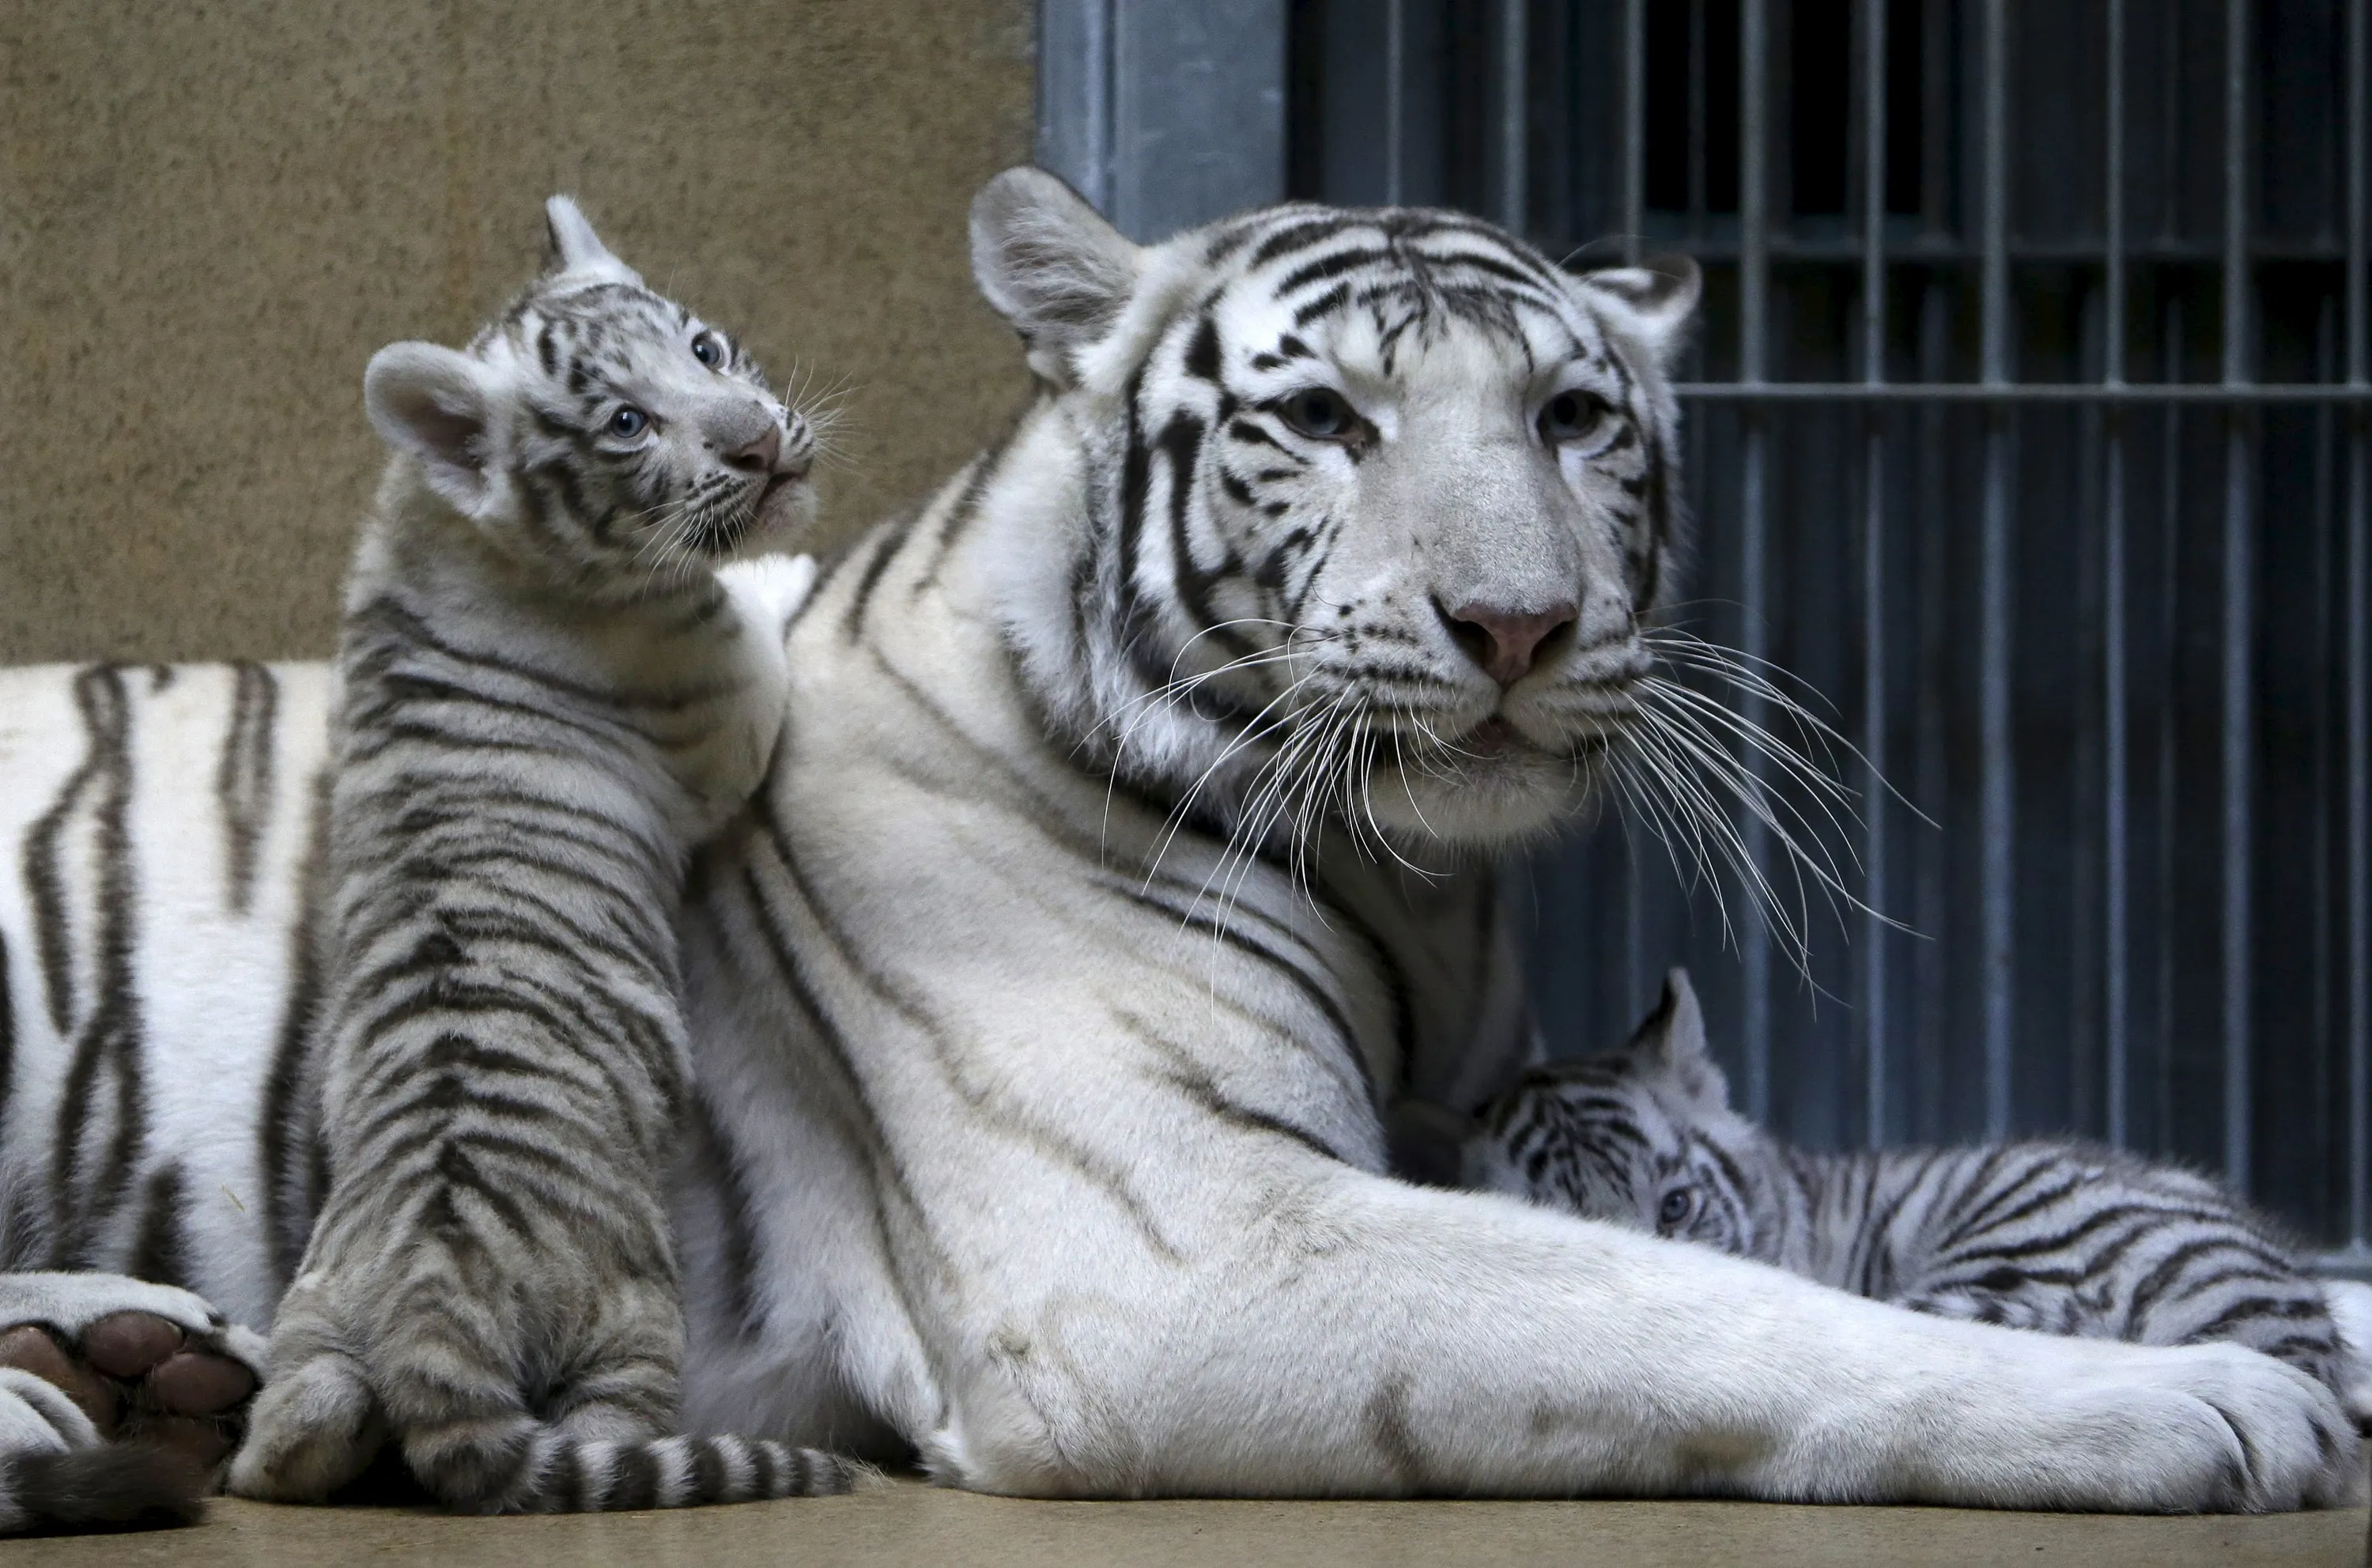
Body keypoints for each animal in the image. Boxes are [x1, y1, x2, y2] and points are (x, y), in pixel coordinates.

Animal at [0, 168, 2363, 1518]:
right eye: (1320, 421)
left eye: (1572, 420)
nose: (1519, 623)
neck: (1427, 893)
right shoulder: (1176, 1248)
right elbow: (1694, 1303)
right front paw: (2204, 1401)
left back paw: (140, 1362)